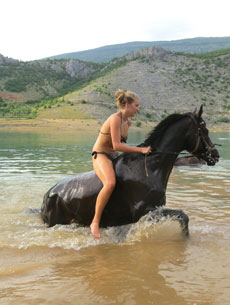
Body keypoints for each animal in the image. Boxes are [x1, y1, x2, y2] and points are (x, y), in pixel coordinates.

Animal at [41, 105, 219, 234]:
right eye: (205, 130)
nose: (215, 155)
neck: (150, 168)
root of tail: (48, 193)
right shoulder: (144, 211)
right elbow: (184, 217)